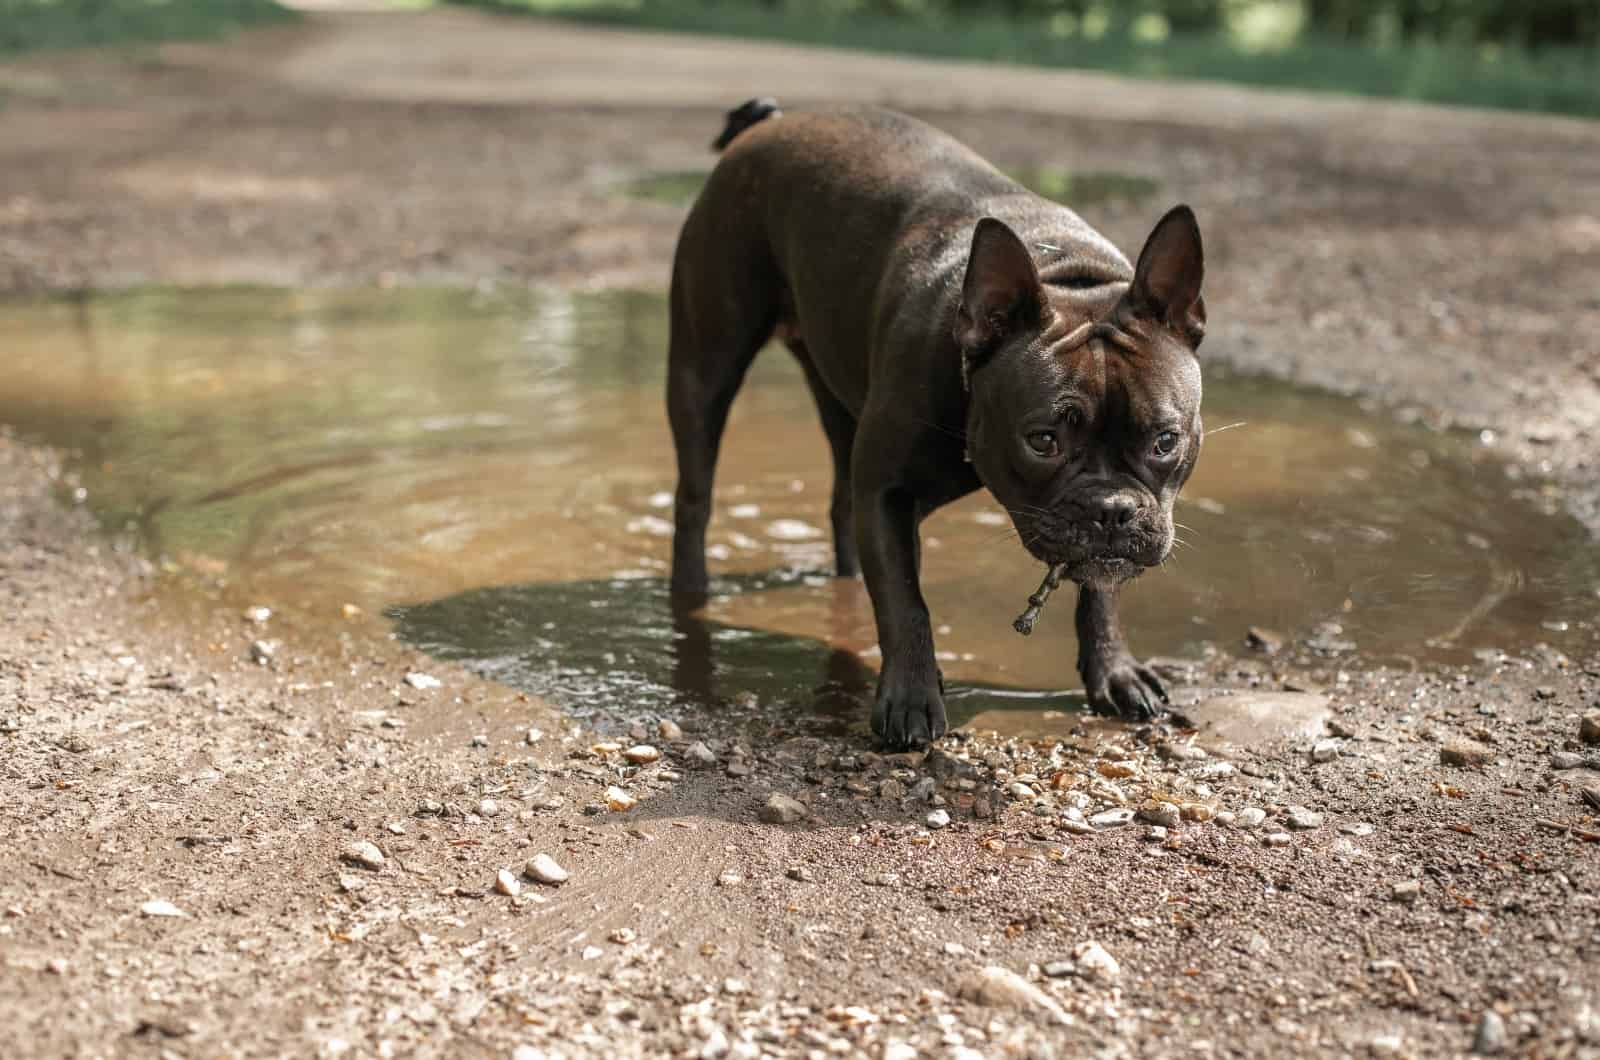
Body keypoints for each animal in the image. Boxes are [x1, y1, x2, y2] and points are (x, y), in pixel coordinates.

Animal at [668, 99, 1203, 746]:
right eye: (1043, 441)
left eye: (1165, 441)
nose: (1111, 510)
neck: (1066, 277)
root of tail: (773, 121)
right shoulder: (889, 495)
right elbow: (906, 602)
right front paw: (910, 699)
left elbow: (1102, 592)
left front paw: (1114, 671)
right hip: (705, 364)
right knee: (695, 496)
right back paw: (690, 594)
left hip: (838, 391)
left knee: (842, 500)